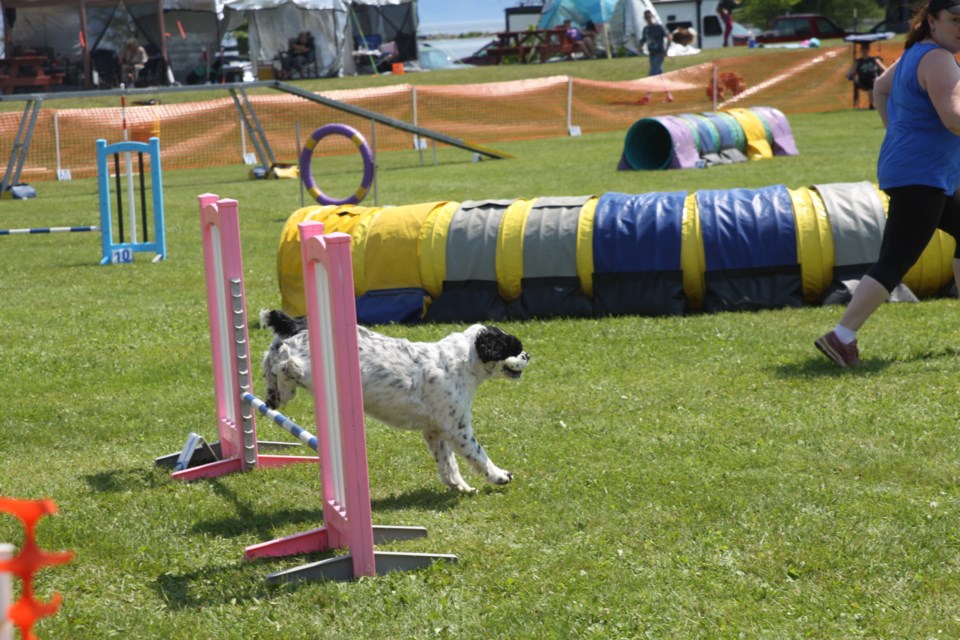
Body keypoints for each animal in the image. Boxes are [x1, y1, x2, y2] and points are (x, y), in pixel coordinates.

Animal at [258, 310, 528, 496]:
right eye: (514, 346)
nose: (528, 355)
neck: (462, 360)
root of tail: (297, 325)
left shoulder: (434, 430)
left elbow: (448, 464)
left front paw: (461, 487)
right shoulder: (457, 428)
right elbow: (478, 453)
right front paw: (500, 476)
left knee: (270, 358)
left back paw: (271, 396)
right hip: (304, 365)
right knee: (284, 363)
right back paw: (285, 380)